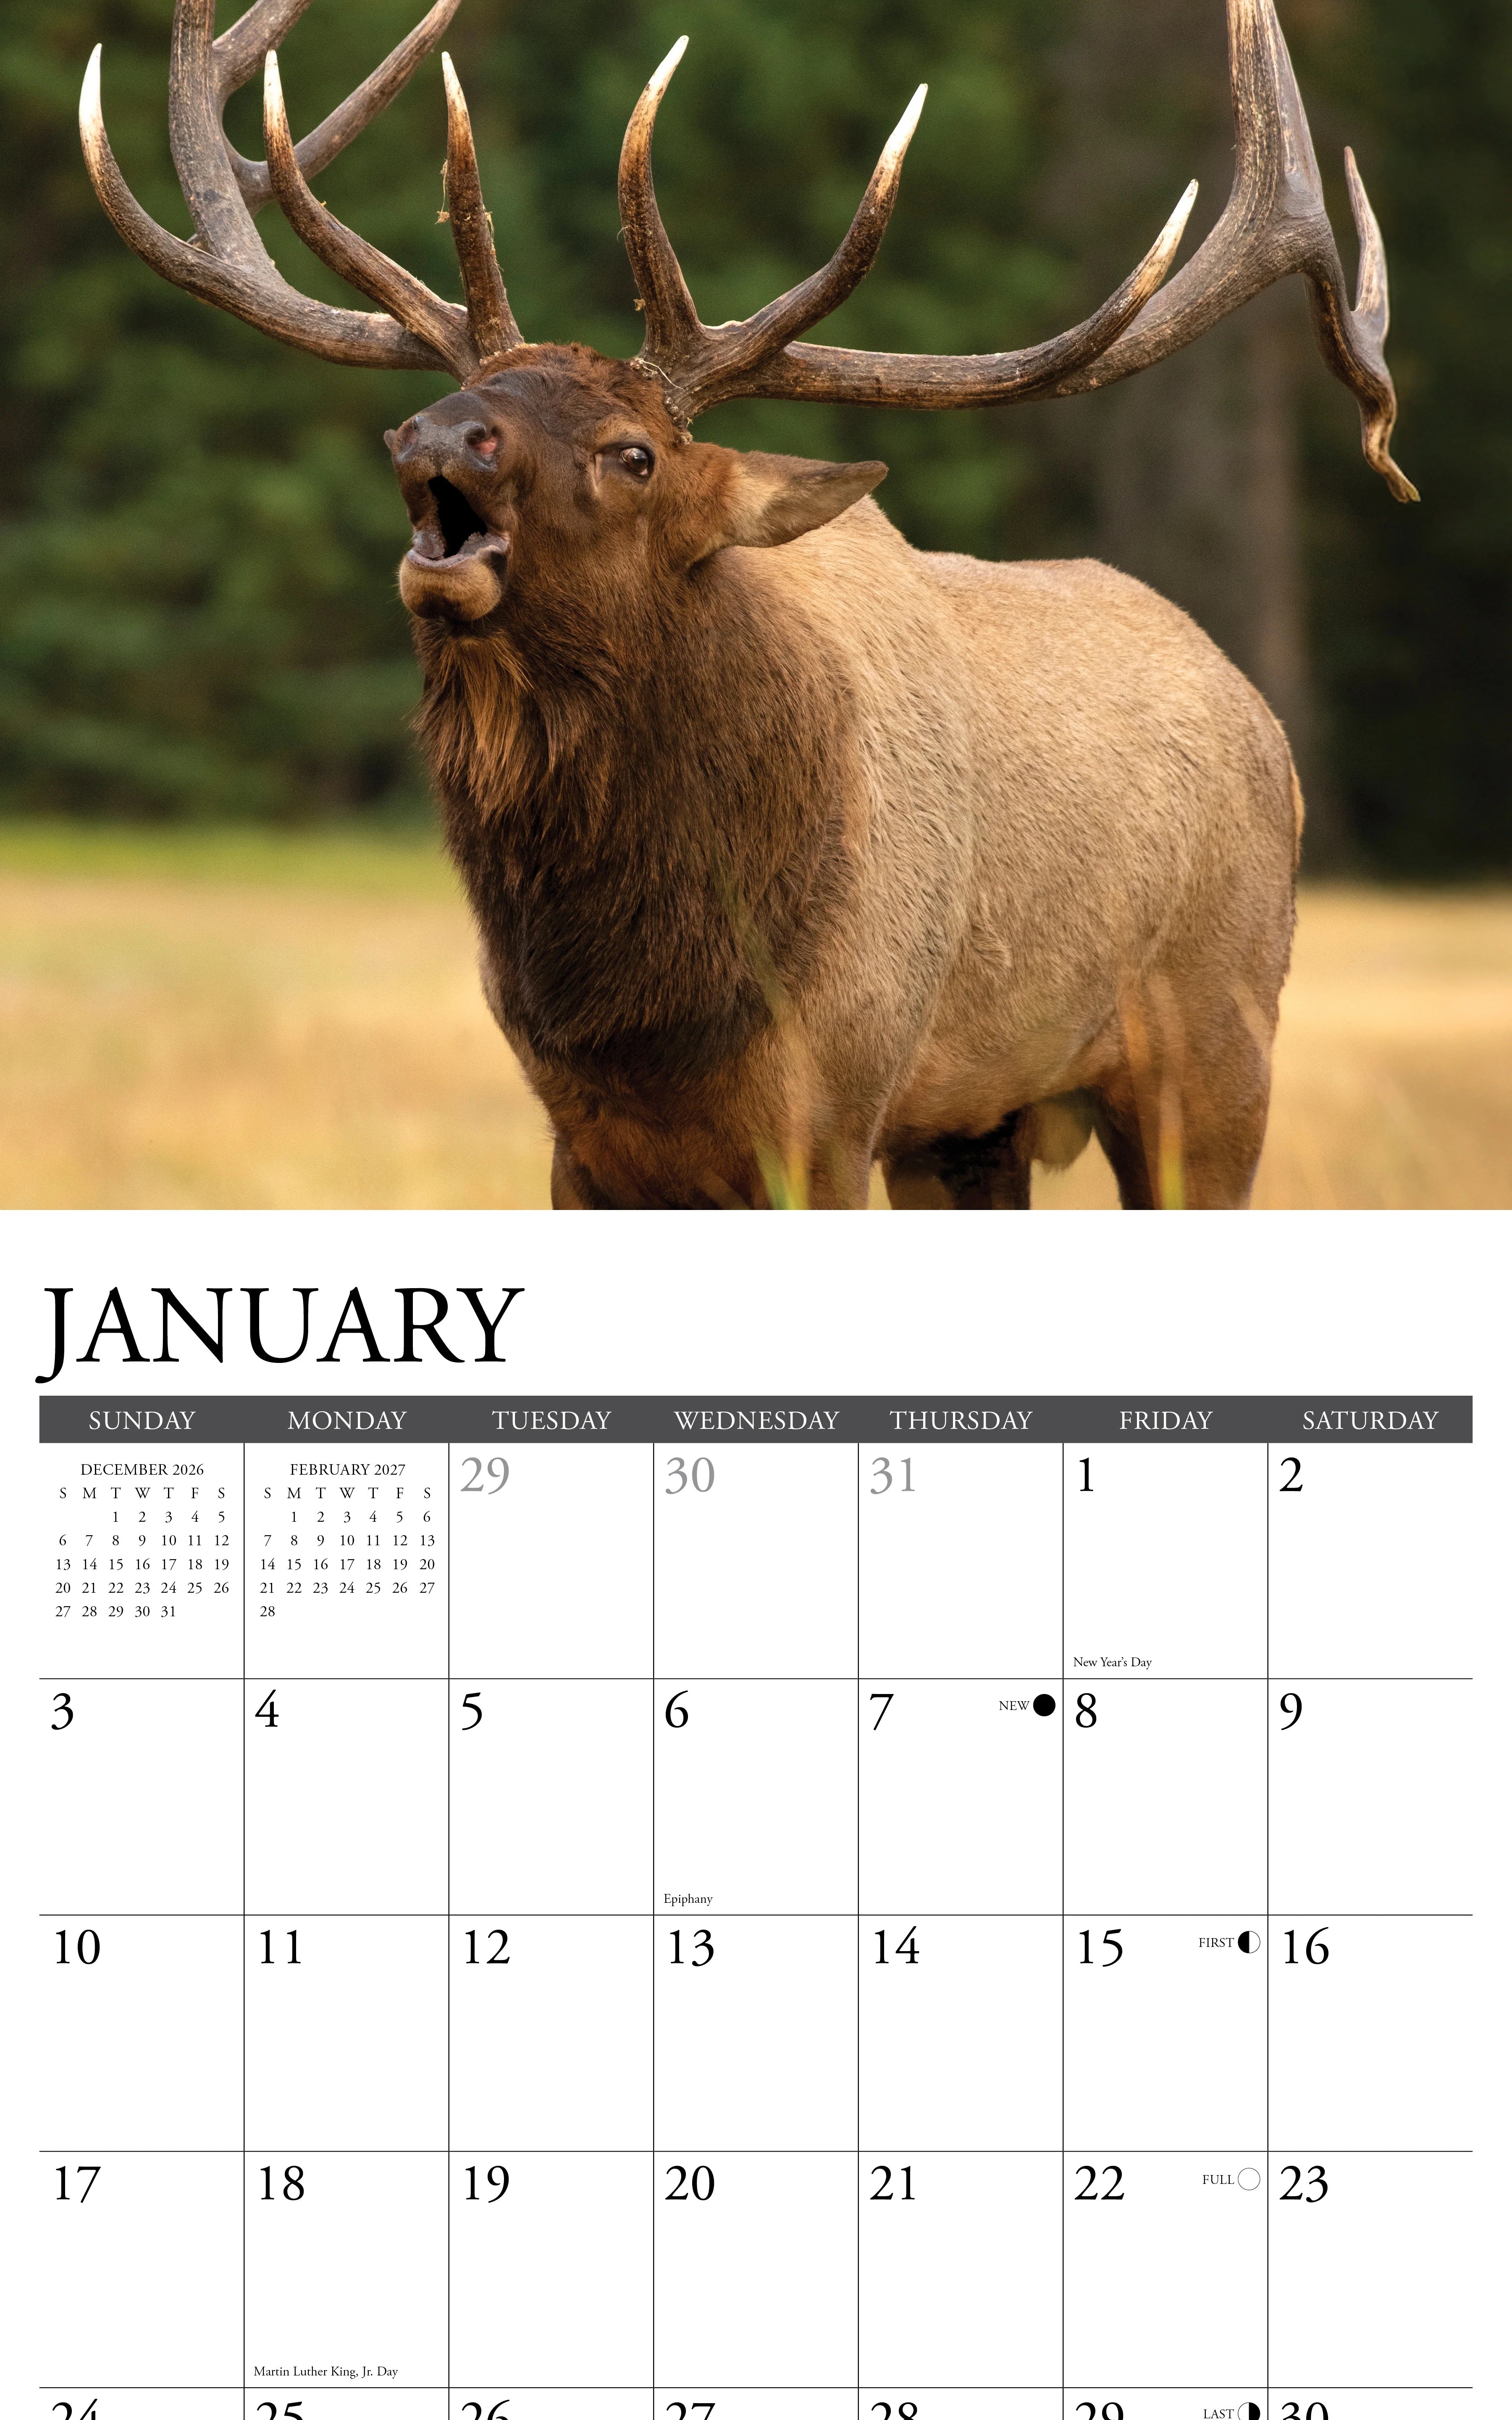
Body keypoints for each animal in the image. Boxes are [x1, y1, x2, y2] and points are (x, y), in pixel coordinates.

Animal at [81, 0, 1414, 1208]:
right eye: (469, 392)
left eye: (635, 454)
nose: (436, 434)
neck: (650, 1003)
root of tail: (1260, 719)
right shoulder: (585, 1142)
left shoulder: (827, 1111)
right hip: (973, 1124)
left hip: (1216, 1051)